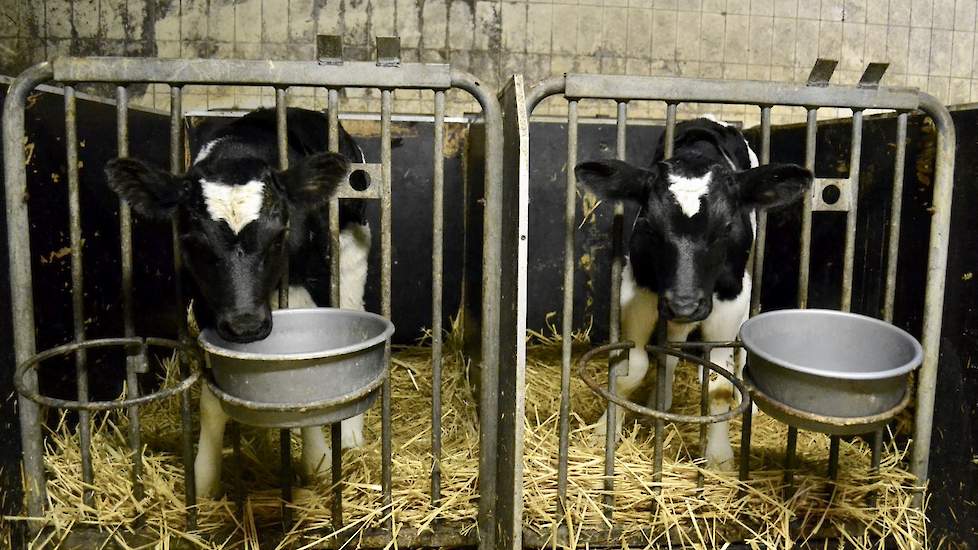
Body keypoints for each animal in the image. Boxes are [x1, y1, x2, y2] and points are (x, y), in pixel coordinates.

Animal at [104, 109, 370, 500]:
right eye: (194, 243)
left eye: (279, 237)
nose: (246, 325)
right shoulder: (208, 306)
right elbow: (211, 402)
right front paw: (203, 479)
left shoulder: (295, 285)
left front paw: (318, 461)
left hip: (352, 243)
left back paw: (350, 431)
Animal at [572, 116, 808, 470]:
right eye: (650, 227)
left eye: (726, 227)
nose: (684, 304)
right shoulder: (637, 289)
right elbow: (633, 370)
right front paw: (605, 430)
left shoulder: (729, 300)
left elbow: (719, 386)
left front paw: (720, 457)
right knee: (671, 351)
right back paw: (661, 397)